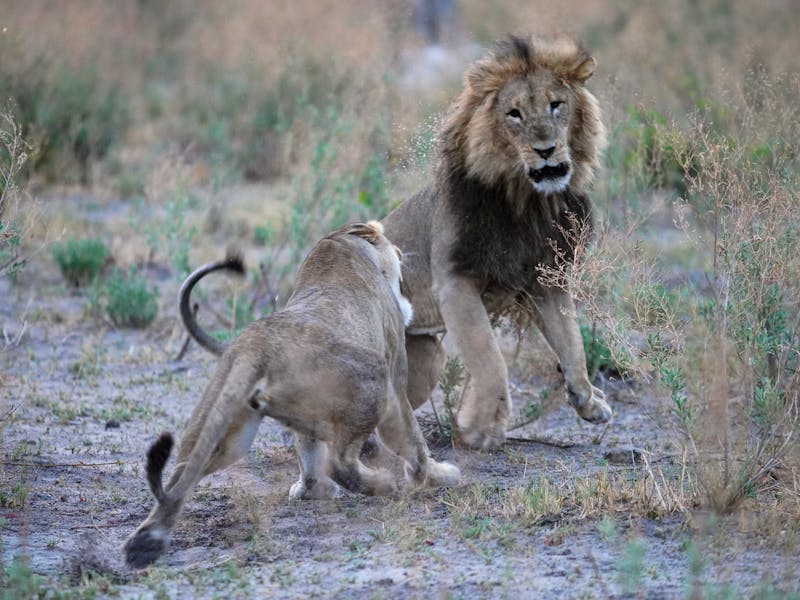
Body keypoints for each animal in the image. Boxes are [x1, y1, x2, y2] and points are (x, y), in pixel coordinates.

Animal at [122, 223, 460, 568]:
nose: (402, 253)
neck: (338, 244)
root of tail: (255, 346)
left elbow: (308, 452)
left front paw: (309, 490)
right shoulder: (395, 376)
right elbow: (412, 440)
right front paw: (437, 475)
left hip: (226, 430)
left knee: (180, 477)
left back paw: (145, 543)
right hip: (374, 380)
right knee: (340, 461)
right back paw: (381, 484)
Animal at [382, 31, 612, 446]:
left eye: (556, 105)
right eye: (514, 114)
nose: (545, 150)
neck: (529, 203)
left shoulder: (546, 282)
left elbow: (573, 346)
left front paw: (589, 401)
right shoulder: (455, 282)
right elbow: (490, 359)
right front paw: (480, 426)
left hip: (425, 360)